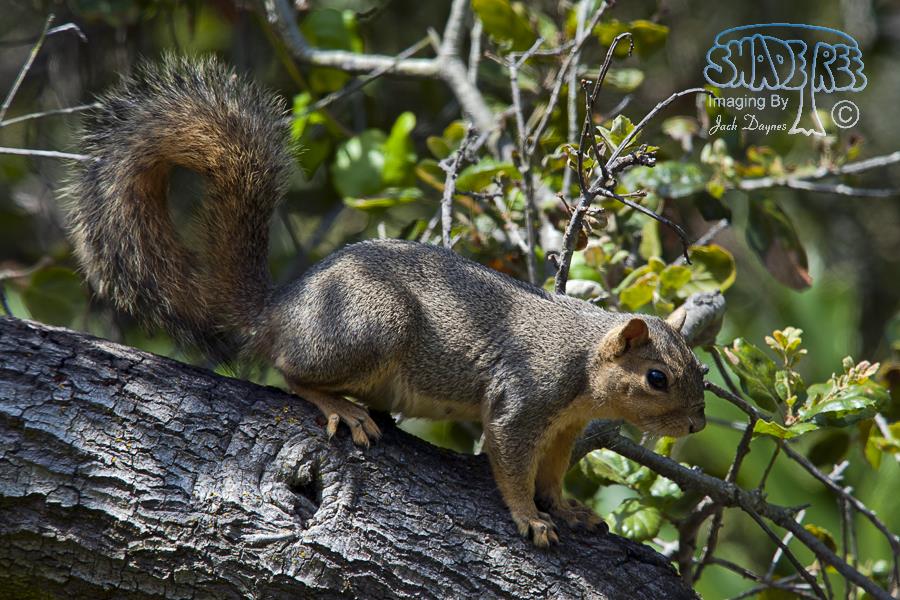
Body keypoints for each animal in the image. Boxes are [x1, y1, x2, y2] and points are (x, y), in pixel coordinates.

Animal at [68, 56, 707, 547]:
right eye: (656, 378)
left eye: (698, 369)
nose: (697, 425)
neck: (581, 358)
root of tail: (279, 311)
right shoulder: (523, 402)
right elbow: (511, 467)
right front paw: (529, 518)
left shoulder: (563, 426)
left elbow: (550, 475)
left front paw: (567, 508)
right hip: (369, 326)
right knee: (290, 370)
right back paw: (339, 406)